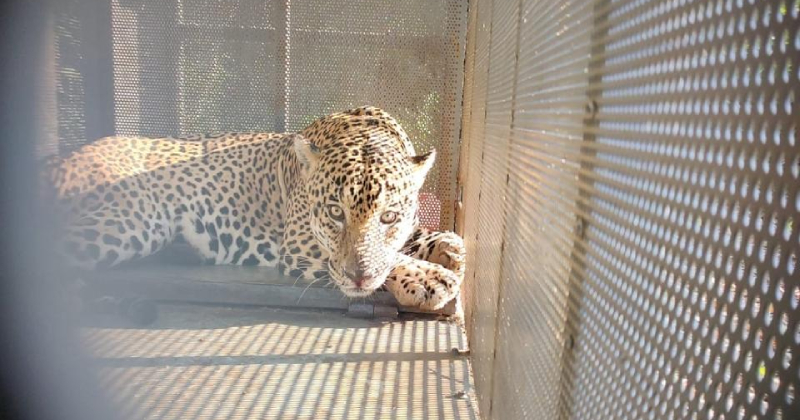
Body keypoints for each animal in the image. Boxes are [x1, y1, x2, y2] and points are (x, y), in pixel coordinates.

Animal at [45, 106, 465, 310]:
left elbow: (414, 238)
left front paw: (448, 247)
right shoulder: (298, 246)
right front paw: (428, 278)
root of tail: (60, 159)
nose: (358, 278)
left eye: (389, 216)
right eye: (334, 212)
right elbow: (384, 259)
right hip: (132, 219)